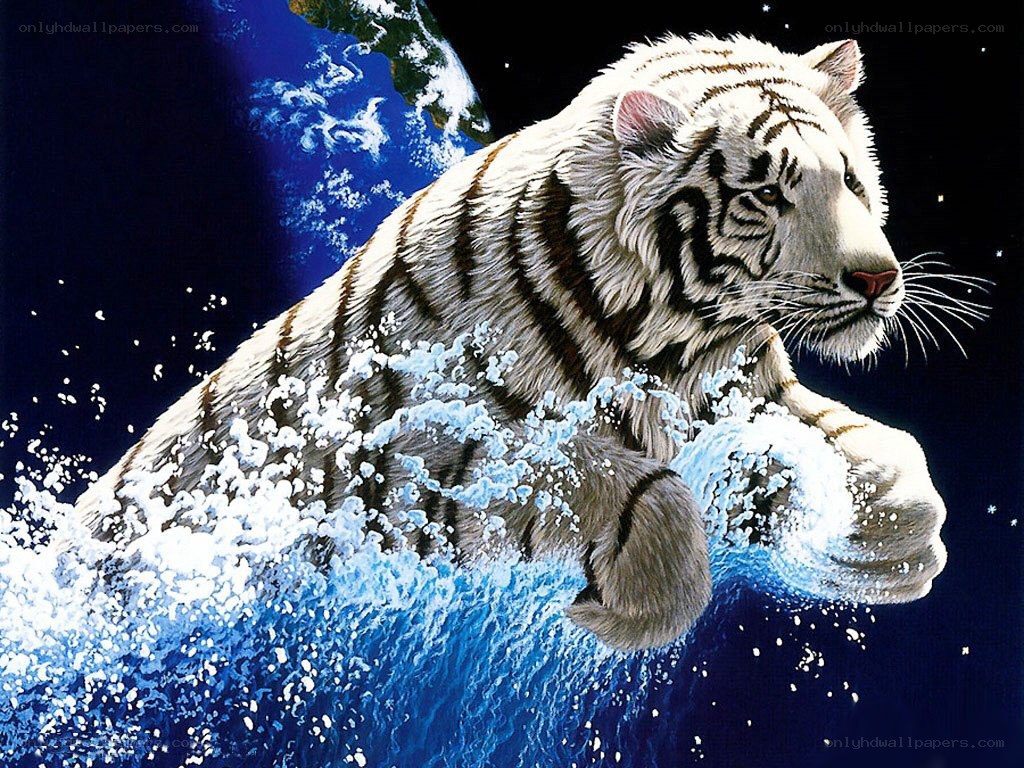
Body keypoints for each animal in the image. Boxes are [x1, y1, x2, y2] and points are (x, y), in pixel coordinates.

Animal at [73, 34, 947, 651]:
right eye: (766, 194)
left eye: (851, 181)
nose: (877, 279)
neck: (679, 339)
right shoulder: (416, 465)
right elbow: (629, 483)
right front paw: (624, 610)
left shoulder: (750, 394)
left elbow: (884, 452)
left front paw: (890, 542)